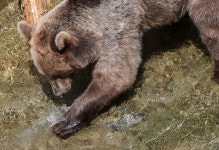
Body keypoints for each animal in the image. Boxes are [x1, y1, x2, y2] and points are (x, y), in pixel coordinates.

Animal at [17, 0, 219, 139]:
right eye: (46, 75)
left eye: (57, 74)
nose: (58, 93)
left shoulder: (117, 32)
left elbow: (115, 77)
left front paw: (63, 125)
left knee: (208, 23)